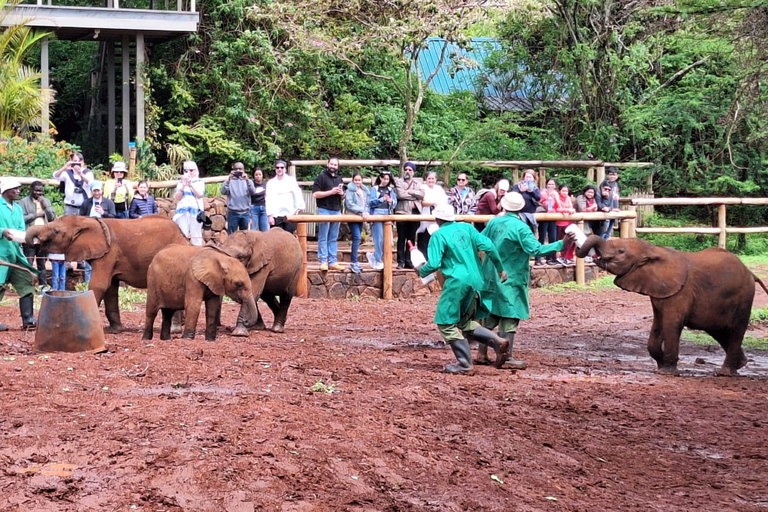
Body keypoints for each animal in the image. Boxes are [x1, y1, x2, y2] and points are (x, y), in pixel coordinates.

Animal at [27, 215, 190, 332]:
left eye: (56, 231)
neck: (87, 220)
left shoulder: (109, 253)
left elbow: (99, 284)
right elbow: (111, 288)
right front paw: (115, 330)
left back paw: (174, 330)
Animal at [580, 236, 764, 376]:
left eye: (621, 251)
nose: (593, 256)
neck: (651, 250)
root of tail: (751, 273)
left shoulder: (681, 292)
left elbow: (671, 323)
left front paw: (667, 372)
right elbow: (658, 323)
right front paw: (661, 367)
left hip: (744, 296)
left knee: (736, 330)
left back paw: (725, 373)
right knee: (718, 330)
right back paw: (740, 364)